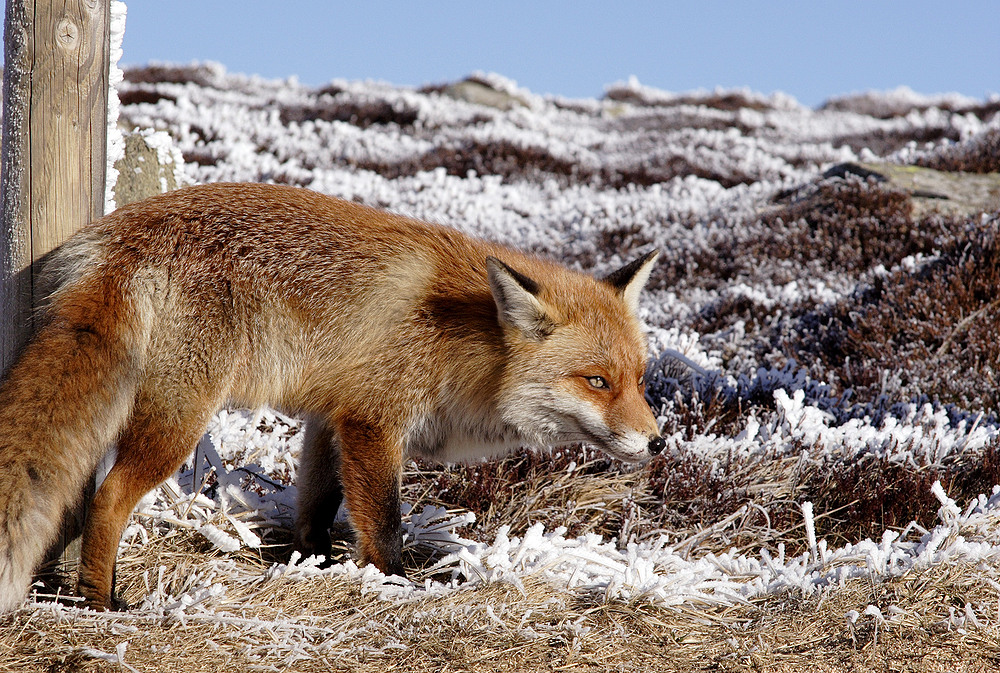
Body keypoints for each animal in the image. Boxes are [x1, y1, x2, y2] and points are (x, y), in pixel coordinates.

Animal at [0, 182, 664, 608]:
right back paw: (100, 599)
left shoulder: (329, 416)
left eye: (638, 378)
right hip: (180, 421)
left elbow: (316, 504)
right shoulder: (373, 420)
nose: (658, 443)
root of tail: (115, 236)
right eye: (596, 381)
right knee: (109, 497)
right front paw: (394, 583)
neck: (464, 343)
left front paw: (311, 565)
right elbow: (385, 522)